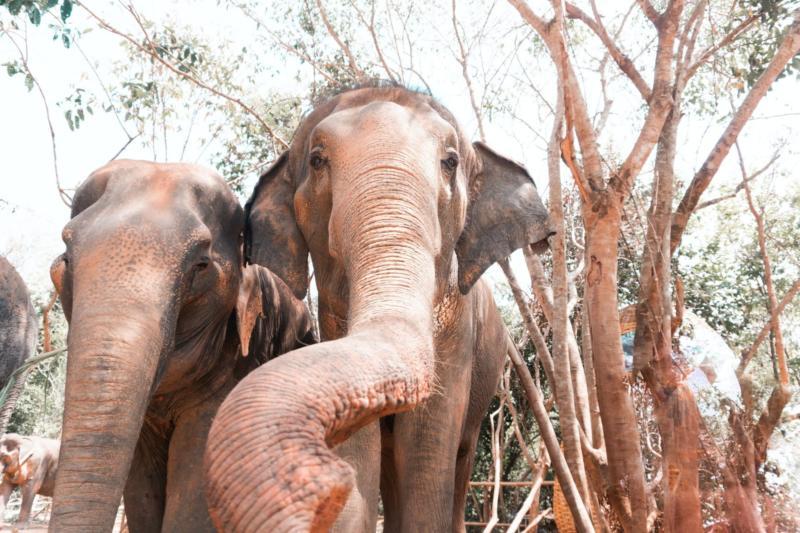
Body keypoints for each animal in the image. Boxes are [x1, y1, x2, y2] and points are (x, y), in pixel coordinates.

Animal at [205, 84, 553, 531]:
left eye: (450, 162)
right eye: (317, 160)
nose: (325, 486)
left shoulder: (458, 328)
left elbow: (425, 442)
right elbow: (362, 442)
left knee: (458, 458)